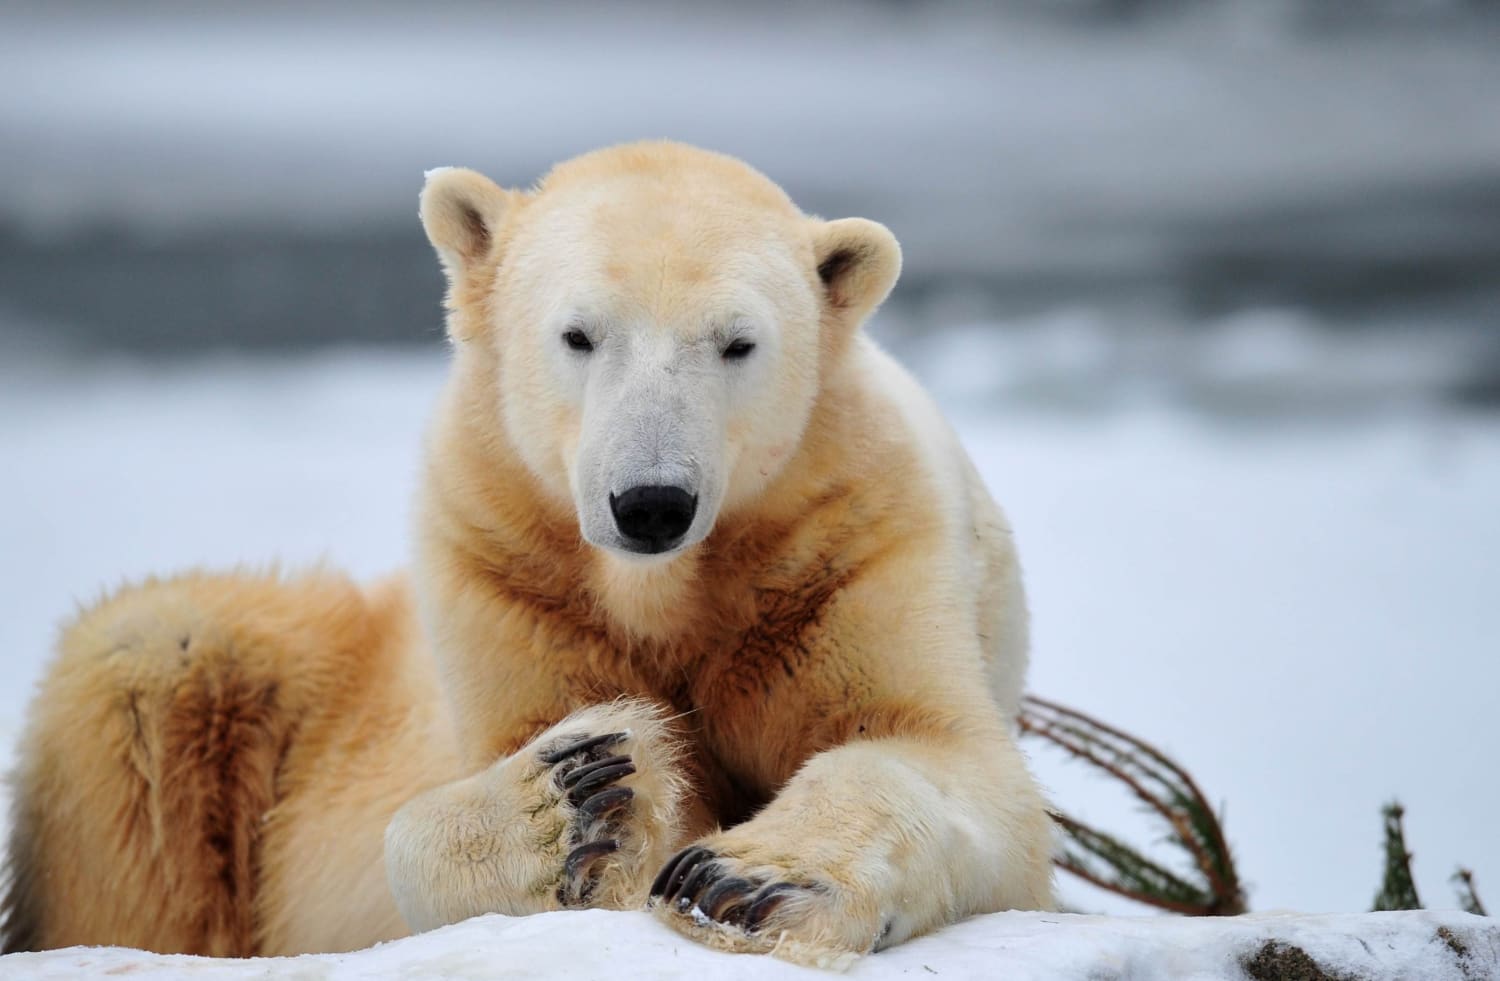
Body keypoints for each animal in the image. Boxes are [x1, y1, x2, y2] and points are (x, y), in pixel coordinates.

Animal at [0, 140, 1056, 966]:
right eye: (579, 334)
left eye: (738, 343)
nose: (651, 503)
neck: (663, 590)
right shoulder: (505, 571)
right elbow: (492, 771)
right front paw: (580, 798)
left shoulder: (842, 551)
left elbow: (934, 748)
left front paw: (742, 881)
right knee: (148, 658)